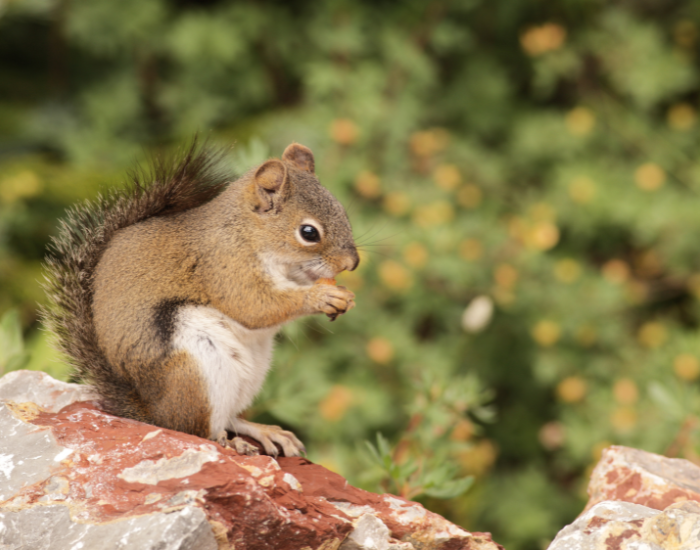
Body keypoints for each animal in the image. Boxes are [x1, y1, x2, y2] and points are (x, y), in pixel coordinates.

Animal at [42, 141, 359, 457]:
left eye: (343, 212)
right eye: (309, 232)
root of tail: (151, 412)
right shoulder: (224, 267)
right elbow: (255, 306)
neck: (247, 232)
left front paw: (345, 298)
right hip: (198, 368)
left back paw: (263, 431)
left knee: (229, 417)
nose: (352, 263)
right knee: (195, 429)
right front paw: (321, 296)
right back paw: (229, 441)